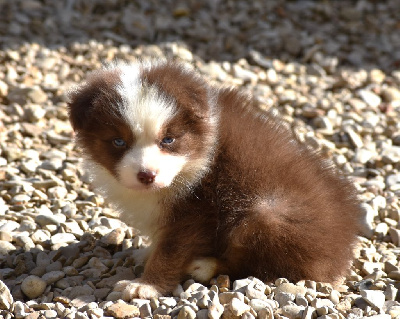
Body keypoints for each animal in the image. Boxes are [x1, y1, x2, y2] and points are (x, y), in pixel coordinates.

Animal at [68, 60, 362, 300]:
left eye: (168, 140)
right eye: (118, 142)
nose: (147, 175)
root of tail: (340, 252)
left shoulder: (196, 210)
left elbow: (171, 250)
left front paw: (146, 285)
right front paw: (147, 254)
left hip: (266, 215)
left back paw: (206, 265)